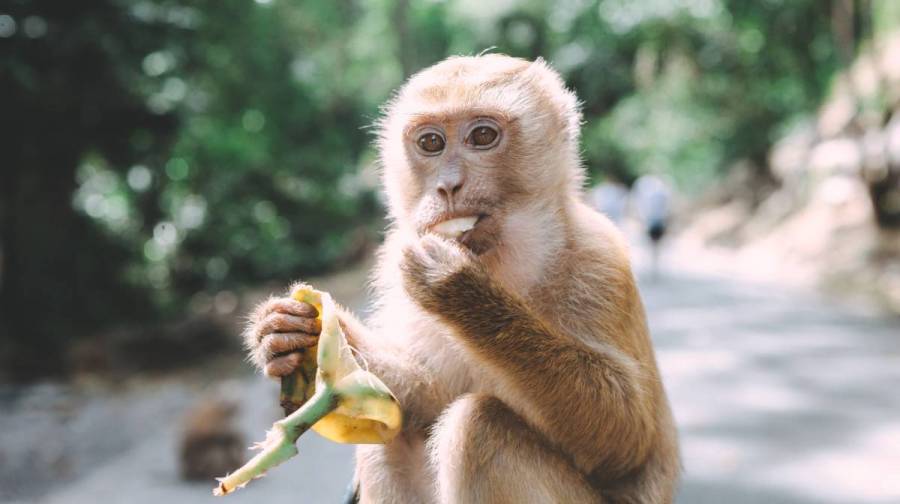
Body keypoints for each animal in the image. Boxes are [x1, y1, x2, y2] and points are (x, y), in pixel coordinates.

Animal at [243, 55, 680, 504]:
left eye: (483, 136)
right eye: (431, 143)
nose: (448, 185)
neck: (503, 259)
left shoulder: (600, 261)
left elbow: (626, 440)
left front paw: (459, 290)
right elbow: (428, 397)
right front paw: (290, 334)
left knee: (480, 427)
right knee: (391, 438)